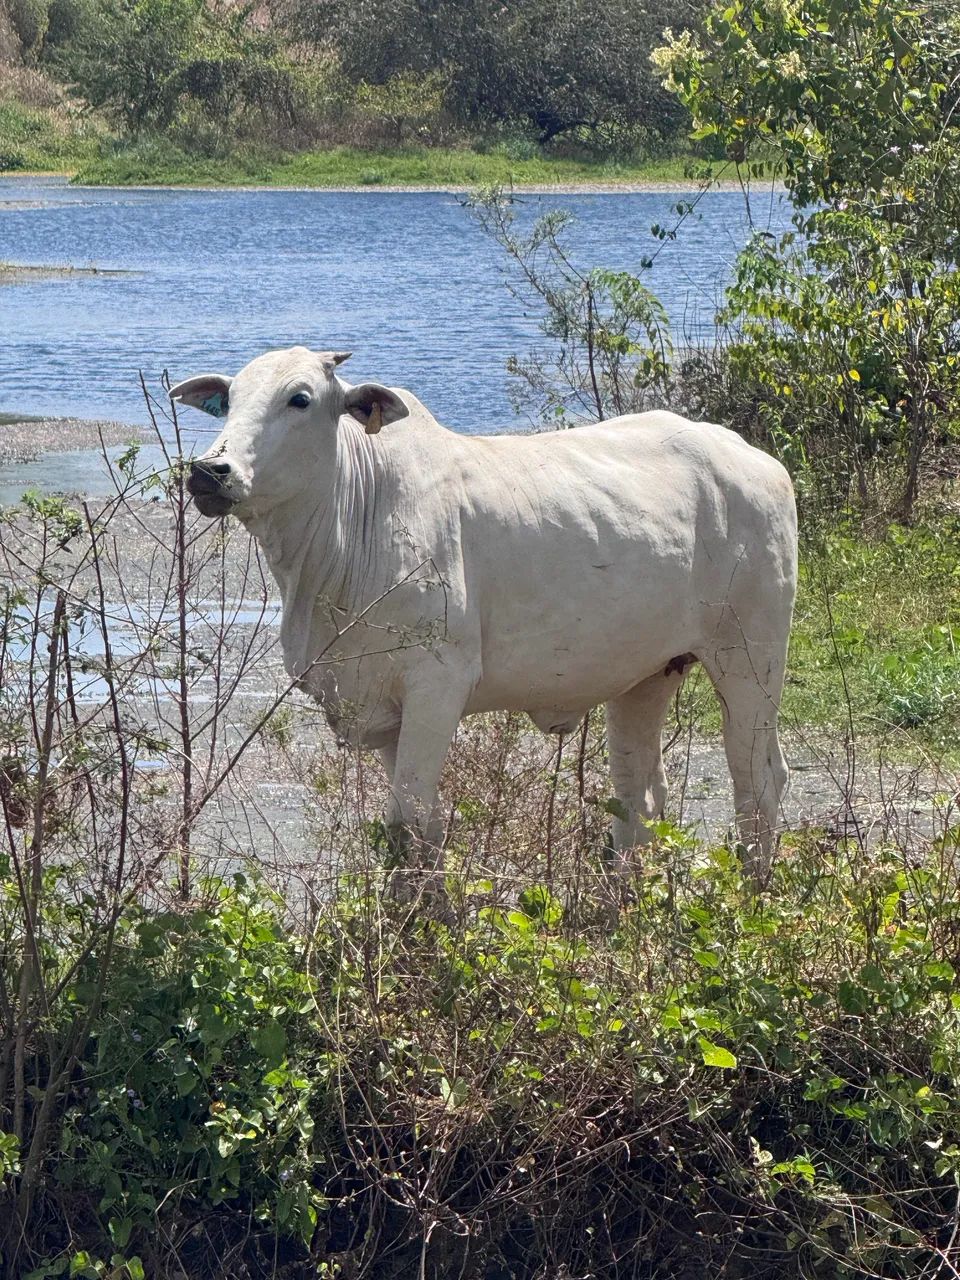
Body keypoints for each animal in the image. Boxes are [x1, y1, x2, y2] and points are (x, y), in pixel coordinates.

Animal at [171, 346, 797, 885]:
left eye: (299, 398)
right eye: (229, 400)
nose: (209, 470)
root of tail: (756, 460)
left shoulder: (436, 683)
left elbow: (408, 823)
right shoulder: (381, 711)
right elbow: (422, 823)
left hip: (750, 659)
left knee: (759, 781)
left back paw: (752, 898)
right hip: (646, 673)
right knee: (637, 791)